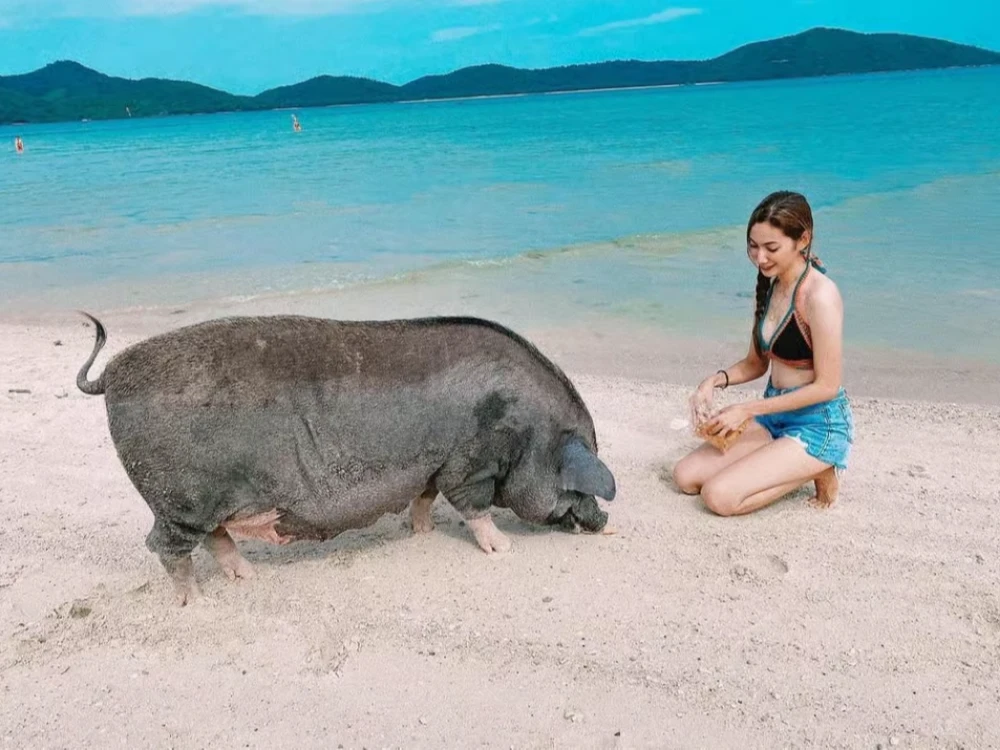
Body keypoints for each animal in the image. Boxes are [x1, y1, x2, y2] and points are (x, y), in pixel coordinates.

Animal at [75, 312, 617, 605]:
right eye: (579, 487)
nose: (603, 520)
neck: (531, 433)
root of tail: (111, 375)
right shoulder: (471, 462)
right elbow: (474, 506)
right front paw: (503, 548)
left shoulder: (432, 463)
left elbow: (425, 494)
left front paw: (421, 532)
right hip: (178, 499)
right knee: (166, 545)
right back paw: (197, 600)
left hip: (203, 503)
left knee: (214, 536)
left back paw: (248, 576)